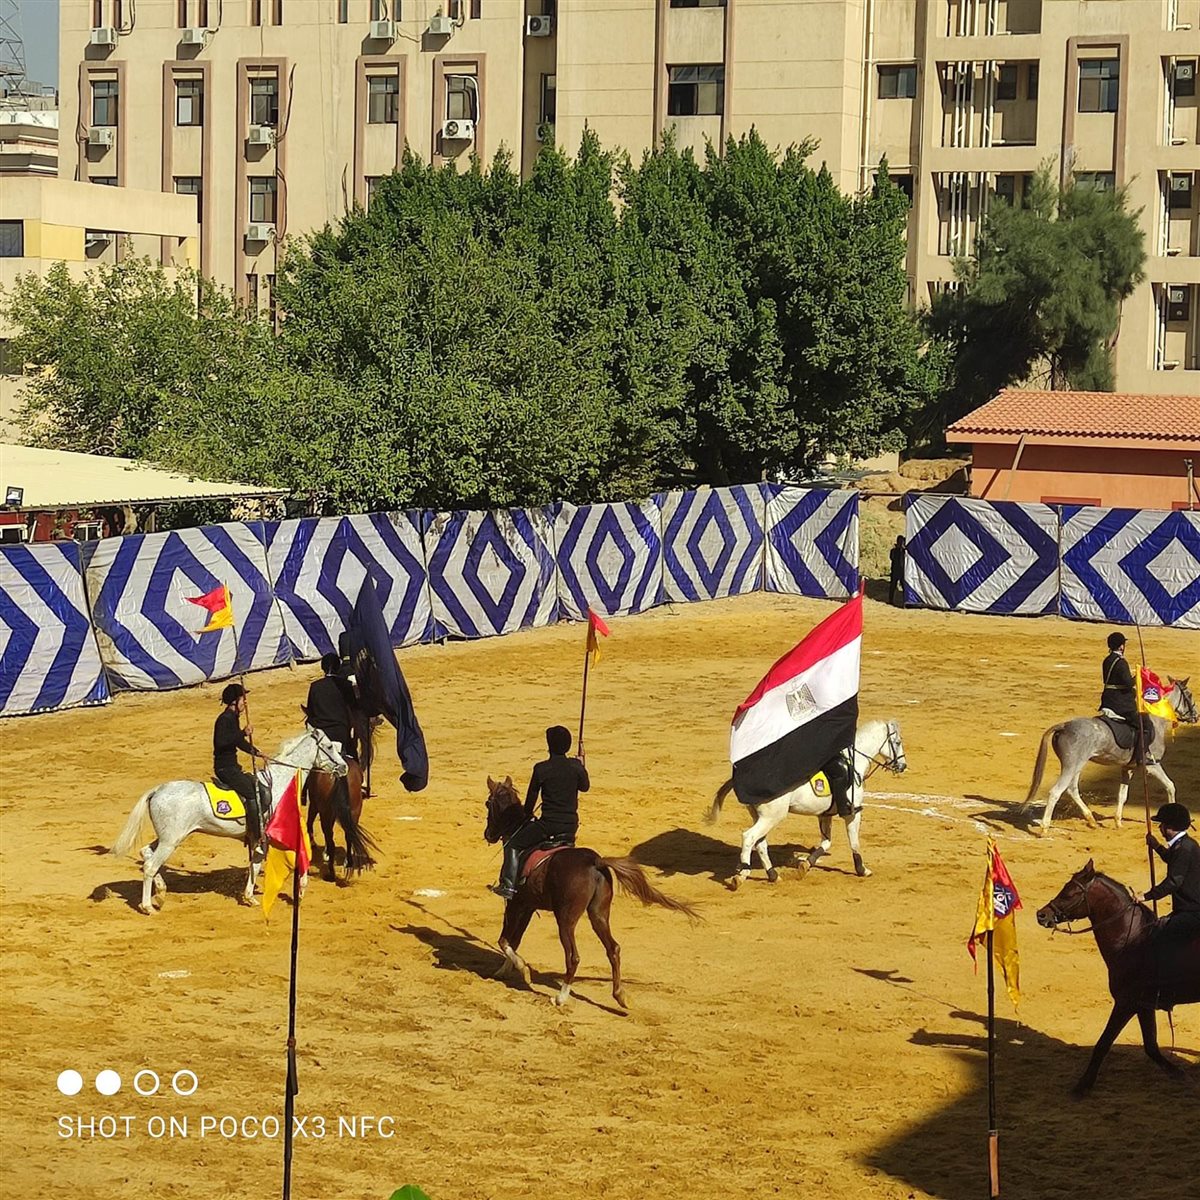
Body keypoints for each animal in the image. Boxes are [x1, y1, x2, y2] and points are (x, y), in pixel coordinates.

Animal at [111, 728, 348, 915]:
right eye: (329, 746)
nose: (344, 767)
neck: (280, 783)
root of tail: (158, 789)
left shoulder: (260, 839)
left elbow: (255, 865)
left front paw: (250, 897)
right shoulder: (278, 834)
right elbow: (297, 854)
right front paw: (301, 890)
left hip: (169, 837)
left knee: (146, 853)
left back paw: (160, 893)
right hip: (171, 841)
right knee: (150, 865)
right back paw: (148, 906)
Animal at [484, 777, 700, 1008]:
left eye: (488, 803)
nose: (488, 834)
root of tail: (595, 862)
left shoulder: (515, 904)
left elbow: (504, 940)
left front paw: (522, 969)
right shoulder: (528, 906)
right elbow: (515, 939)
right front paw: (505, 970)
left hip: (566, 919)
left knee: (573, 956)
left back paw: (560, 997)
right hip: (599, 914)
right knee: (613, 948)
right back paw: (620, 996)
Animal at [706, 719, 907, 889]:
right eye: (897, 742)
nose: (903, 766)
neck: (854, 762)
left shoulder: (825, 815)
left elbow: (826, 842)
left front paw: (805, 865)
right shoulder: (853, 812)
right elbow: (854, 842)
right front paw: (862, 870)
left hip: (760, 816)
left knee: (760, 843)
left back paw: (773, 875)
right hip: (772, 816)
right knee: (749, 837)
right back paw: (741, 875)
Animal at [1022, 677, 1196, 833]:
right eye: (1189, 694)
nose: (1196, 716)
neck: (1156, 721)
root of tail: (1064, 725)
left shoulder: (1127, 768)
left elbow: (1122, 795)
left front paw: (1118, 822)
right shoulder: (1152, 765)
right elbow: (1170, 786)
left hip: (1077, 765)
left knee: (1072, 789)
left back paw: (1091, 820)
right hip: (1072, 765)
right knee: (1056, 791)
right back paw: (1045, 828)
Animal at [1036, 860, 1199, 1094]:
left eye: (1071, 893)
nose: (1041, 915)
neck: (1132, 937)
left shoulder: (1125, 1003)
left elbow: (1103, 1043)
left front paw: (1082, 1085)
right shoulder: (1143, 1005)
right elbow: (1151, 1046)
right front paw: (1179, 1073)